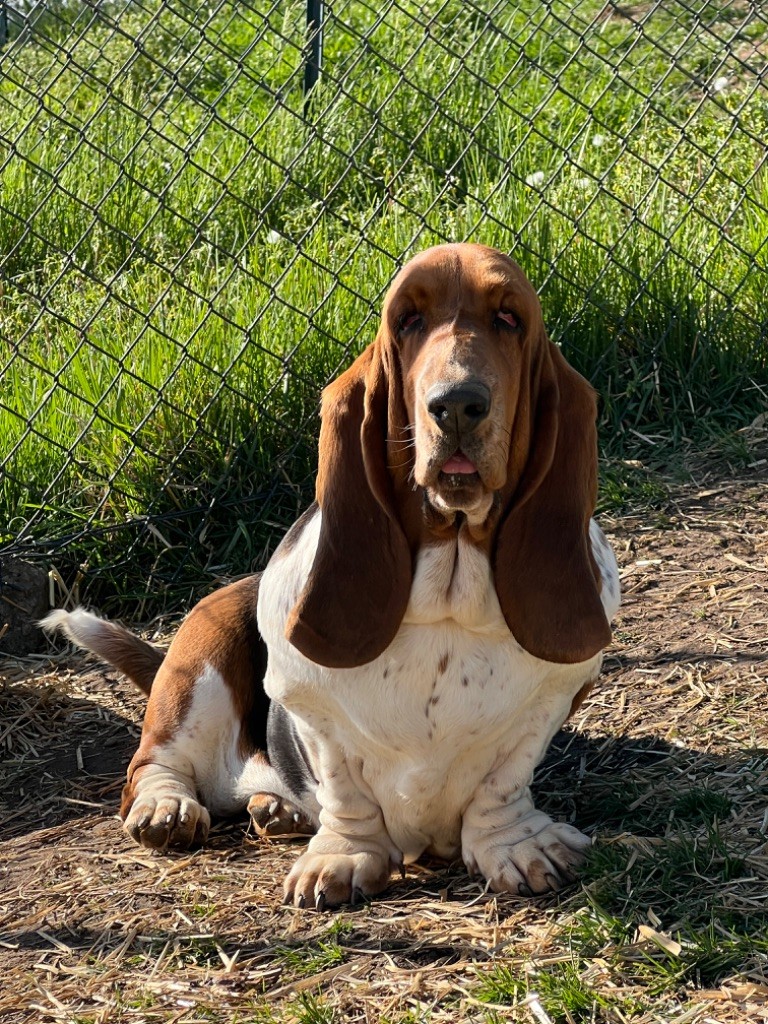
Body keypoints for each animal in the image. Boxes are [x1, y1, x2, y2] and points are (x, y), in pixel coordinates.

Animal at [43, 243, 618, 909]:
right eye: (407, 320)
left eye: (509, 318)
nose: (456, 404)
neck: (450, 587)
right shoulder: (312, 709)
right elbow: (345, 789)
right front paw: (342, 859)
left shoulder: (553, 698)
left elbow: (504, 781)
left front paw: (519, 846)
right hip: (200, 665)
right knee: (153, 767)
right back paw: (170, 809)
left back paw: (278, 810)